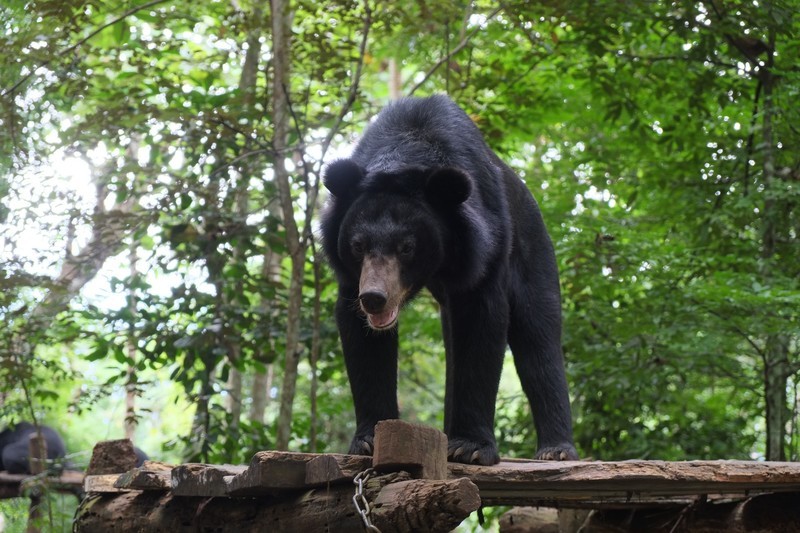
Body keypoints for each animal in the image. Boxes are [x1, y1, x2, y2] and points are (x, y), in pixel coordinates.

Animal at [322, 95, 580, 466]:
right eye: (357, 246)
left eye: (407, 247)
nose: (373, 298)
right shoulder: (350, 277)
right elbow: (361, 339)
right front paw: (368, 440)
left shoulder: (486, 244)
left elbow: (483, 323)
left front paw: (470, 447)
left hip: (534, 247)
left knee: (538, 335)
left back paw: (556, 450)